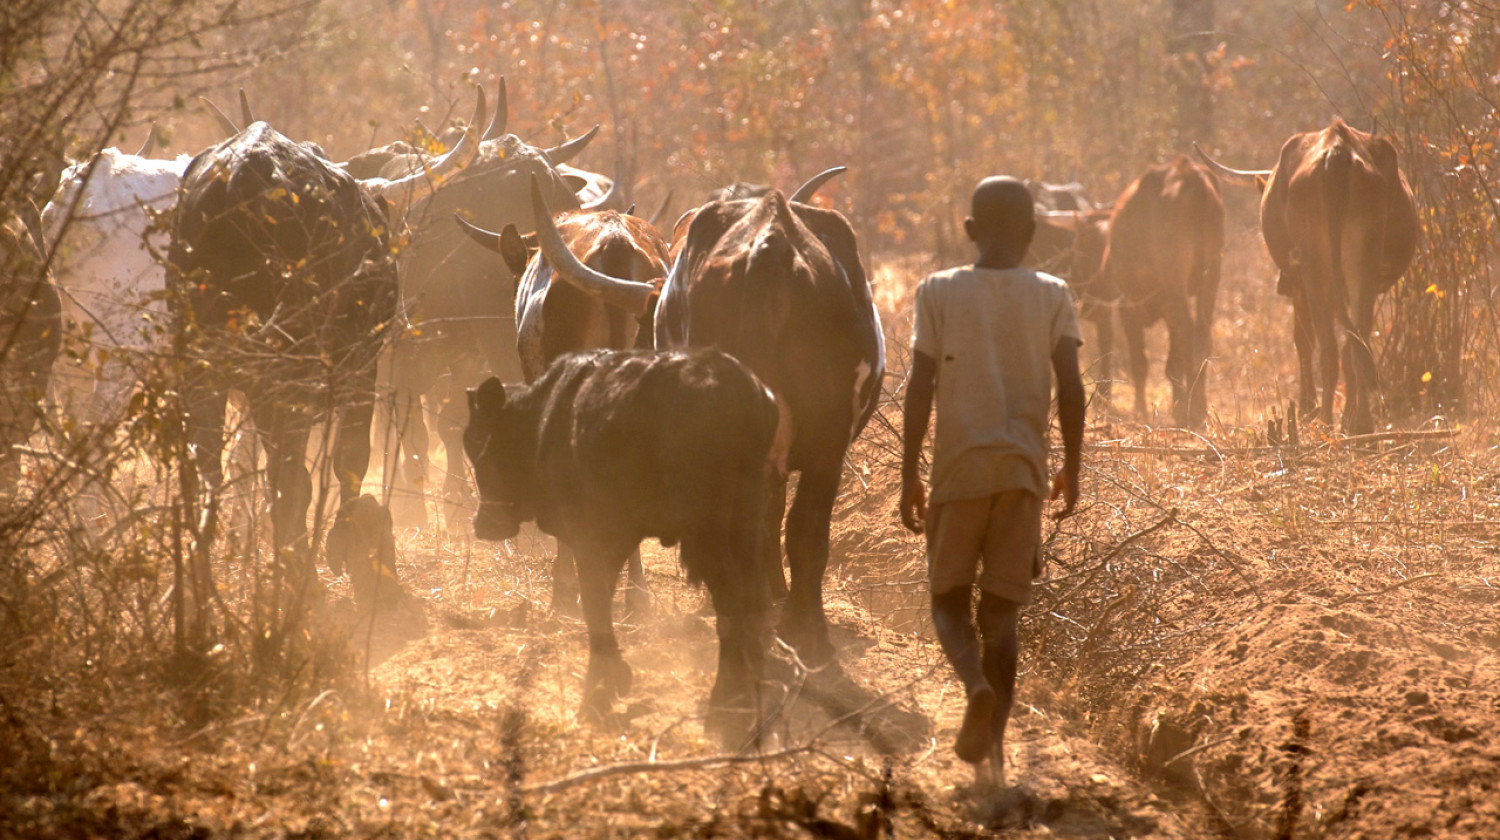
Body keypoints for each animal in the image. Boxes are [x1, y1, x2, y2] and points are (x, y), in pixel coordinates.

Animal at [168, 97, 478, 584]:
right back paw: (300, 569)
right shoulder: (361, 367)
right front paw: (344, 542)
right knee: (287, 473)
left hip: (203, 371)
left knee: (210, 466)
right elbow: (351, 456)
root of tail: (244, 176)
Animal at [463, 348, 777, 735]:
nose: (483, 524)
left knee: (733, 602)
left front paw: (599, 690)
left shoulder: (592, 535)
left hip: (708, 533)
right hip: (748, 524)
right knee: (755, 600)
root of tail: (744, 389)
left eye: (480, 443)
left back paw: (727, 705)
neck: (547, 420)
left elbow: (595, 605)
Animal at [1078, 156, 1224, 427]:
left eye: (1079, 253)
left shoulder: (1130, 305)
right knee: (1201, 338)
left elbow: (1140, 362)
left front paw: (1142, 411)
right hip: (1211, 278)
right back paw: (1199, 409)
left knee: (1189, 337)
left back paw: (1191, 412)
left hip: (1176, 286)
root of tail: (1188, 173)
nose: (1087, 308)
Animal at [1195, 119, 1420, 434]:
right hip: (1360, 262)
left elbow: (1302, 339)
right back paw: (1359, 421)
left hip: (1316, 267)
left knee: (1329, 346)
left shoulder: (1299, 283)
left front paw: (1306, 408)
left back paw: (1327, 419)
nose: (1281, 286)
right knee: (1355, 342)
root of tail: (1338, 150)